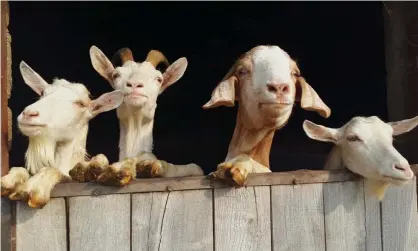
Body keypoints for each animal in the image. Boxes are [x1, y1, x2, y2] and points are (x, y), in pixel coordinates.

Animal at [0, 61, 123, 208]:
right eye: (43, 92)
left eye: (81, 104)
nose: (29, 114)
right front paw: (8, 181)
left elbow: (58, 172)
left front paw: (34, 187)